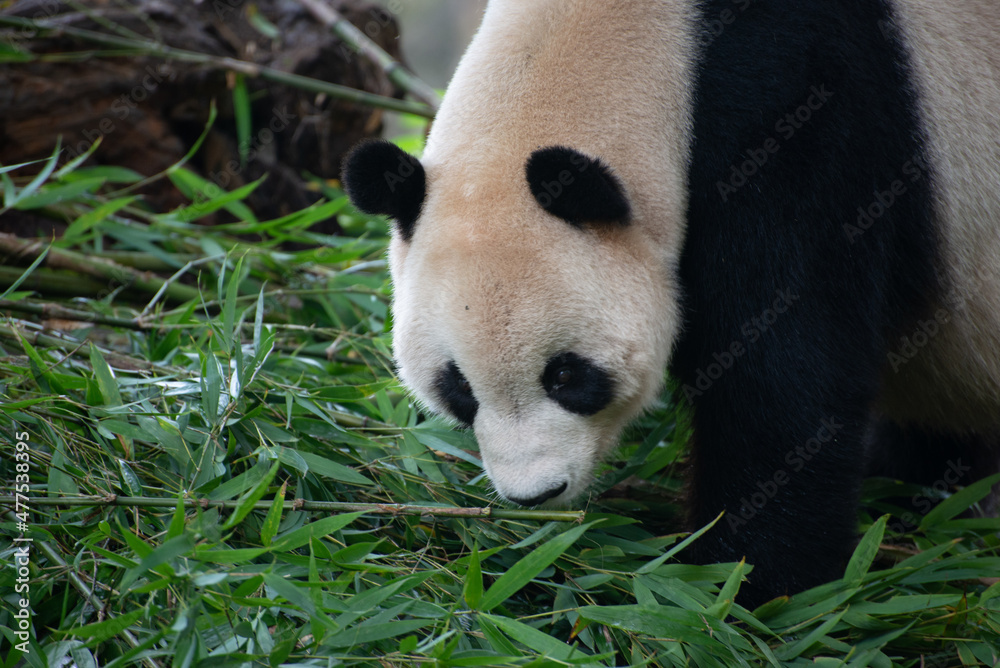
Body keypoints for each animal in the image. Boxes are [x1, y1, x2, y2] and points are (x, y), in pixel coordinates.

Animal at [342, 0, 1000, 606]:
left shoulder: (805, 111)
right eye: (458, 389)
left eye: (566, 375)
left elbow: (784, 367)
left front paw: (751, 582)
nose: (536, 494)